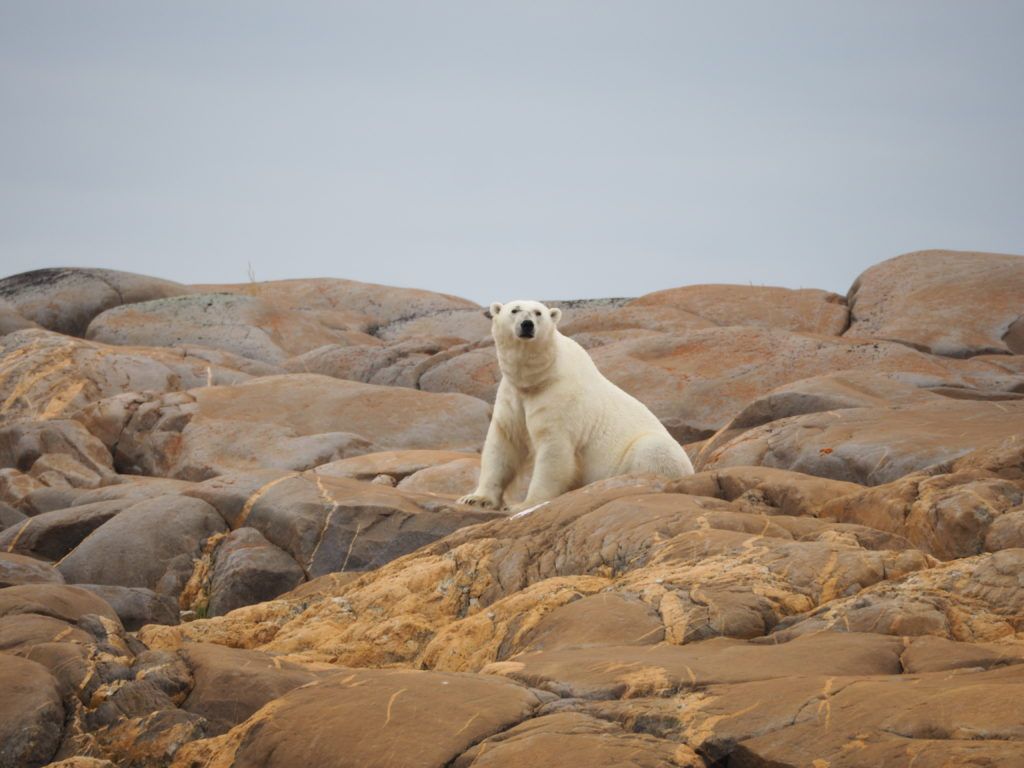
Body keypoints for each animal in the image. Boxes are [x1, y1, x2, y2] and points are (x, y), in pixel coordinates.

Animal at [458, 301, 692, 512]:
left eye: (538, 312)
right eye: (514, 310)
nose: (527, 325)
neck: (539, 378)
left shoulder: (560, 399)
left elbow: (554, 450)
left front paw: (525, 504)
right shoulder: (512, 397)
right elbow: (504, 444)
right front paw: (476, 498)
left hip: (649, 451)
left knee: (653, 448)